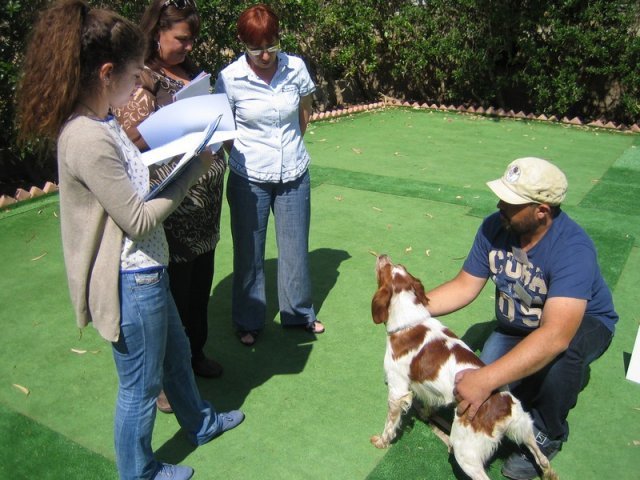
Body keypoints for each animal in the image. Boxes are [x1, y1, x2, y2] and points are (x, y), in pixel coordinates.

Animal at [372, 255, 556, 480]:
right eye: (398, 266)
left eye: (385, 270)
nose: (383, 255)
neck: (410, 321)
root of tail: (504, 409)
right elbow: (429, 402)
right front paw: (426, 414)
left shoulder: (397, 390)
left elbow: (390, 423)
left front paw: (382, 441)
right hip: (525, 426)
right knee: (542, 457)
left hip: (465, 450)